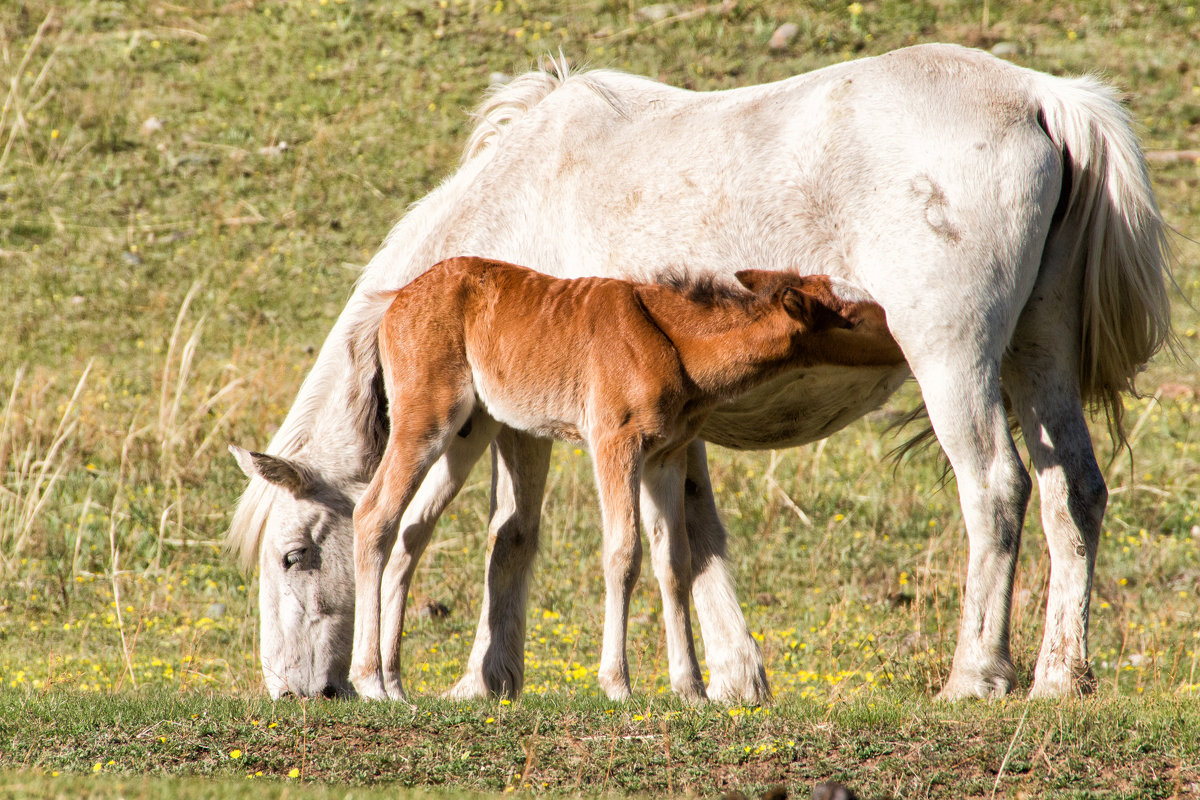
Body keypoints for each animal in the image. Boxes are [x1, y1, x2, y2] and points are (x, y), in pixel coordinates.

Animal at [350, 256, 902, 700]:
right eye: (854, 319)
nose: (901, 333)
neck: (679, 347)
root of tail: (393, 302)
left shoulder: (666, 455)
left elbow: (674, 561)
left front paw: (692, 689)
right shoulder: (615, 442)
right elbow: (624, 553)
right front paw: (618, 684)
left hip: (470, 428)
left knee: (412, 531)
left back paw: (396, 683)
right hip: (425, 417)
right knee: (374, 514)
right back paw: (370, 681)